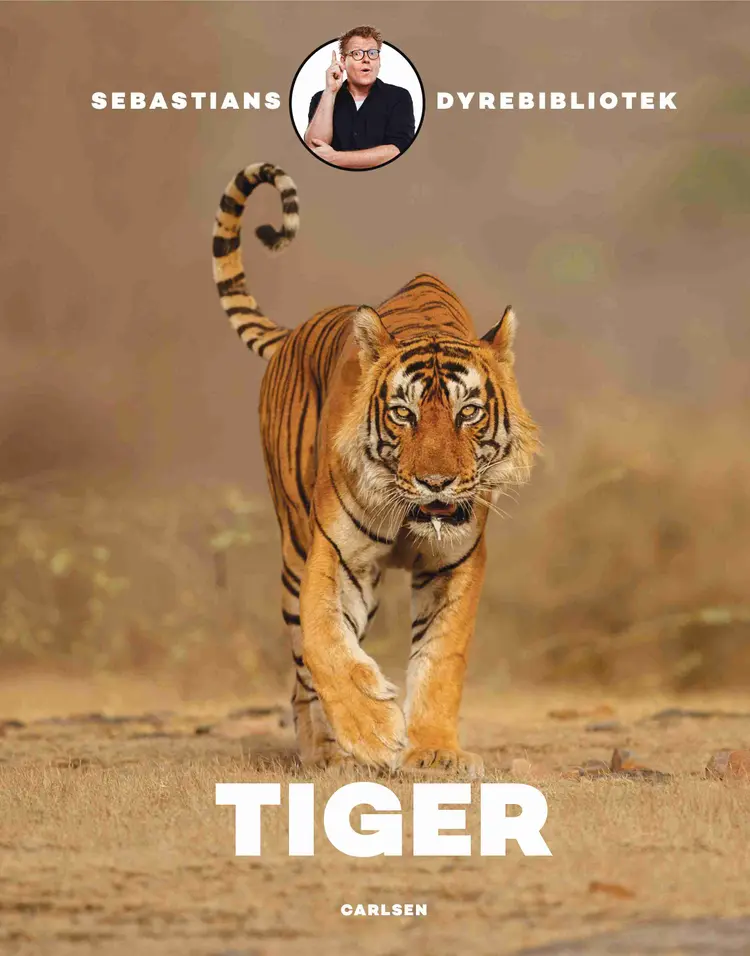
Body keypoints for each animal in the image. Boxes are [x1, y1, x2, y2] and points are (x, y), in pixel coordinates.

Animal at [212, 162, 539, 776]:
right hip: (293, 545)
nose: (436, 482)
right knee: (302, 667)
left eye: (468, 412)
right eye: (402, 414)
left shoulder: (456, 561)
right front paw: (372, 730)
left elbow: (442, 656)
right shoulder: (333, 552)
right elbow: (323, 640)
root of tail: (292, 333)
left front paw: (435, 752)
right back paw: (325, 752)